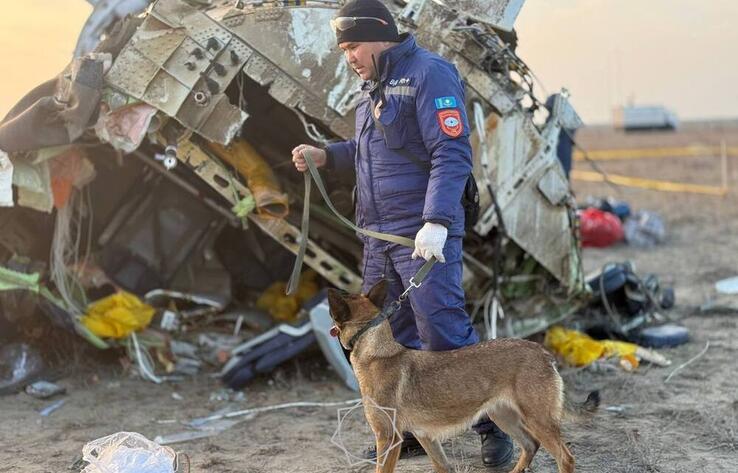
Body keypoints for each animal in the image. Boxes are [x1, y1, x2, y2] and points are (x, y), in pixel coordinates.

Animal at [328, 280, 600, 472]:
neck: (376, 349)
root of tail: (542, 352)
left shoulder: (388, 438)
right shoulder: (425, 437)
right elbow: (443, 467)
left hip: (537, 419)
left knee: (565, 458)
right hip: (504, 415)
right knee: (531, 445)